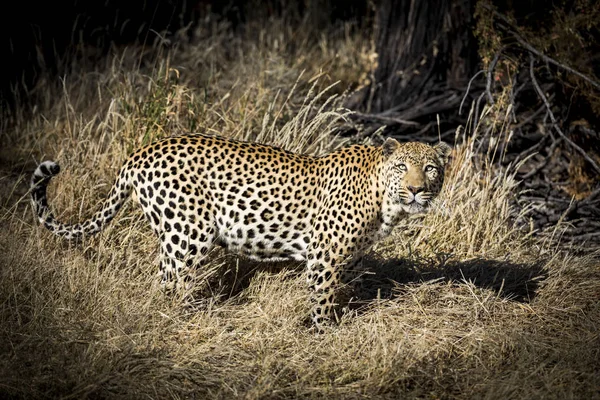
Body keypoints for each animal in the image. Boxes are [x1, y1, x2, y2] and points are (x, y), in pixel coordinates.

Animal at [30, 133, 448, 330]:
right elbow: (322, 299)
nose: (415, 189)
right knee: (166, 284)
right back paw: (177, 322)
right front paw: (324, 334)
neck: (384, 201)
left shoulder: (345, 258)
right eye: (402, 167)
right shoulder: (324, 256)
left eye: (430, 168)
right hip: (187, 234)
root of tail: (140, 152)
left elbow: (339, 292)